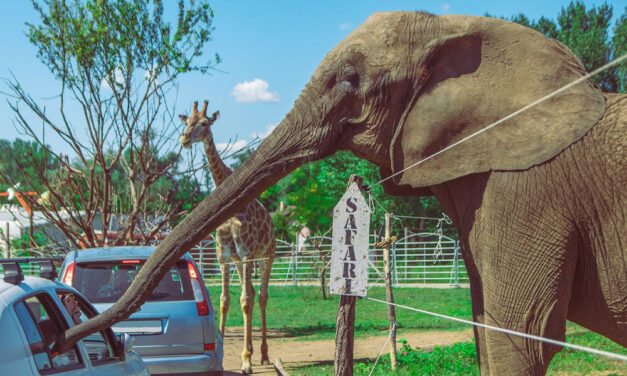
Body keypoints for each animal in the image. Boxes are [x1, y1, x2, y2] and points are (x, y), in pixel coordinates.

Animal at [178, 101, 274, 374]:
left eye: (204, 123)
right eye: (187, 121)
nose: (184, 139)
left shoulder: (245, 252)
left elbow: (245, 300)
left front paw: (246, 361)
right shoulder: (224, 255)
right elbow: (224, 300)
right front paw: (225, 356)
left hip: (267, 256)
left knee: (260, 296)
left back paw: (263, 354)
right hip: (242, 261)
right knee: (250, 292)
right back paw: (253, 350)